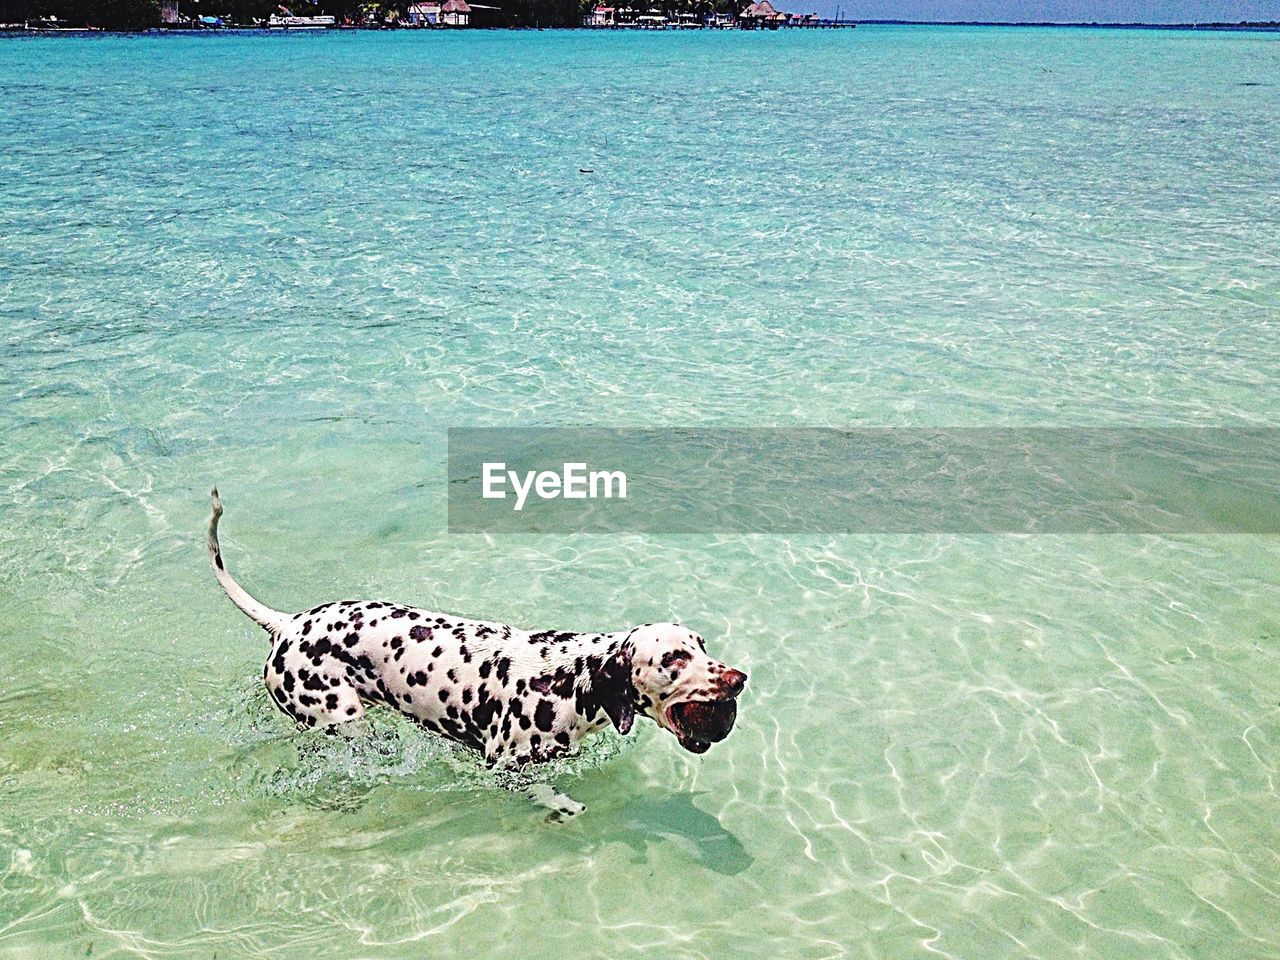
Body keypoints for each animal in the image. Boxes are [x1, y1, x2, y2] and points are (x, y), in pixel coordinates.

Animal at [204, 488, 747, 819]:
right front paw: (564, 806)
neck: (566, 681)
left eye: (702, 645)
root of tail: (288, 622)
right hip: (340, 720)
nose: (739, 678)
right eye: (673, 659)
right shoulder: (504, 768)